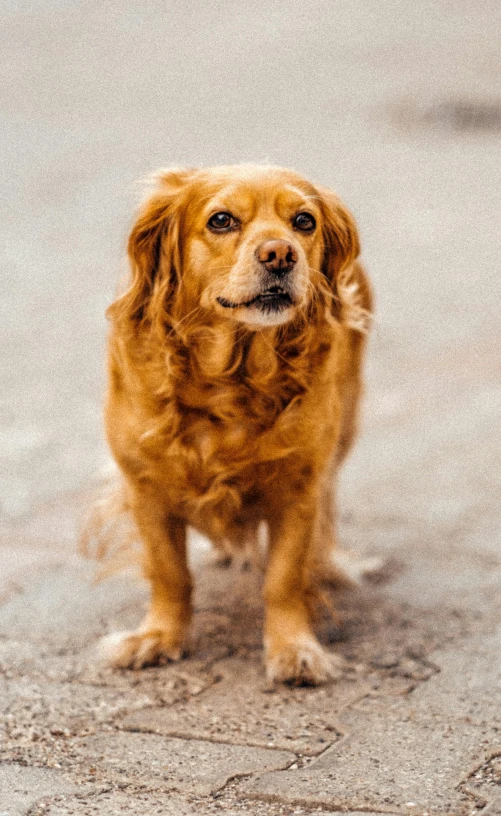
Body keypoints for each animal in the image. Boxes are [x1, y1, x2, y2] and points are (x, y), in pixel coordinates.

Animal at [99, 166, 372, 688]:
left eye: (304, 221)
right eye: (221, 220)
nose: (280, 253)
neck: (232, 380)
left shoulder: (299, 488)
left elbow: (283, 579)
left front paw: (294, 647)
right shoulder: (145, 487)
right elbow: (169, 573)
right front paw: (159, 637)